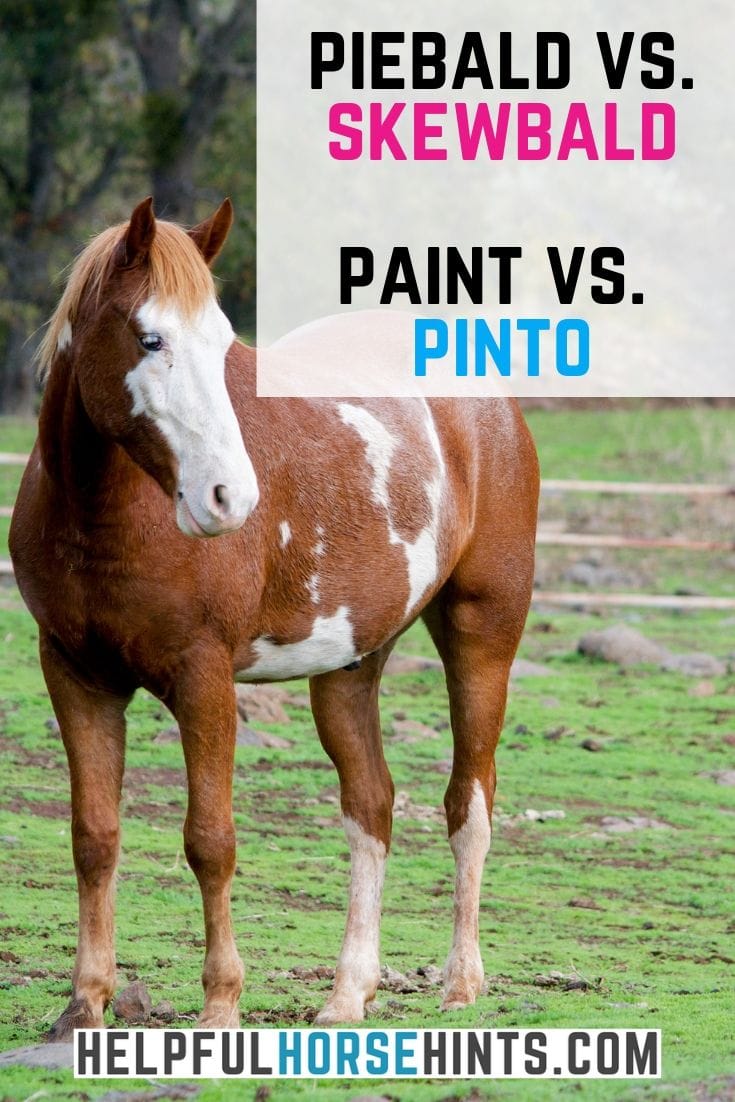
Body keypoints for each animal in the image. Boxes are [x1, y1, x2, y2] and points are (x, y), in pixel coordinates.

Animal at [9, 198, 539, 1040]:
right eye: (149, 338)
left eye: (222, 341)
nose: (229, 496)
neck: (105, 515)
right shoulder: (74, 675)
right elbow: (94, 839)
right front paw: (83, 1005)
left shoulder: (203, 679)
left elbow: (210, 841)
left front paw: (221, 1007)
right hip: (350, 665)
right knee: (370, 807)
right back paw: (347, 995)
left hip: (481, 637)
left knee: (469, 804)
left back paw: (460, 983)